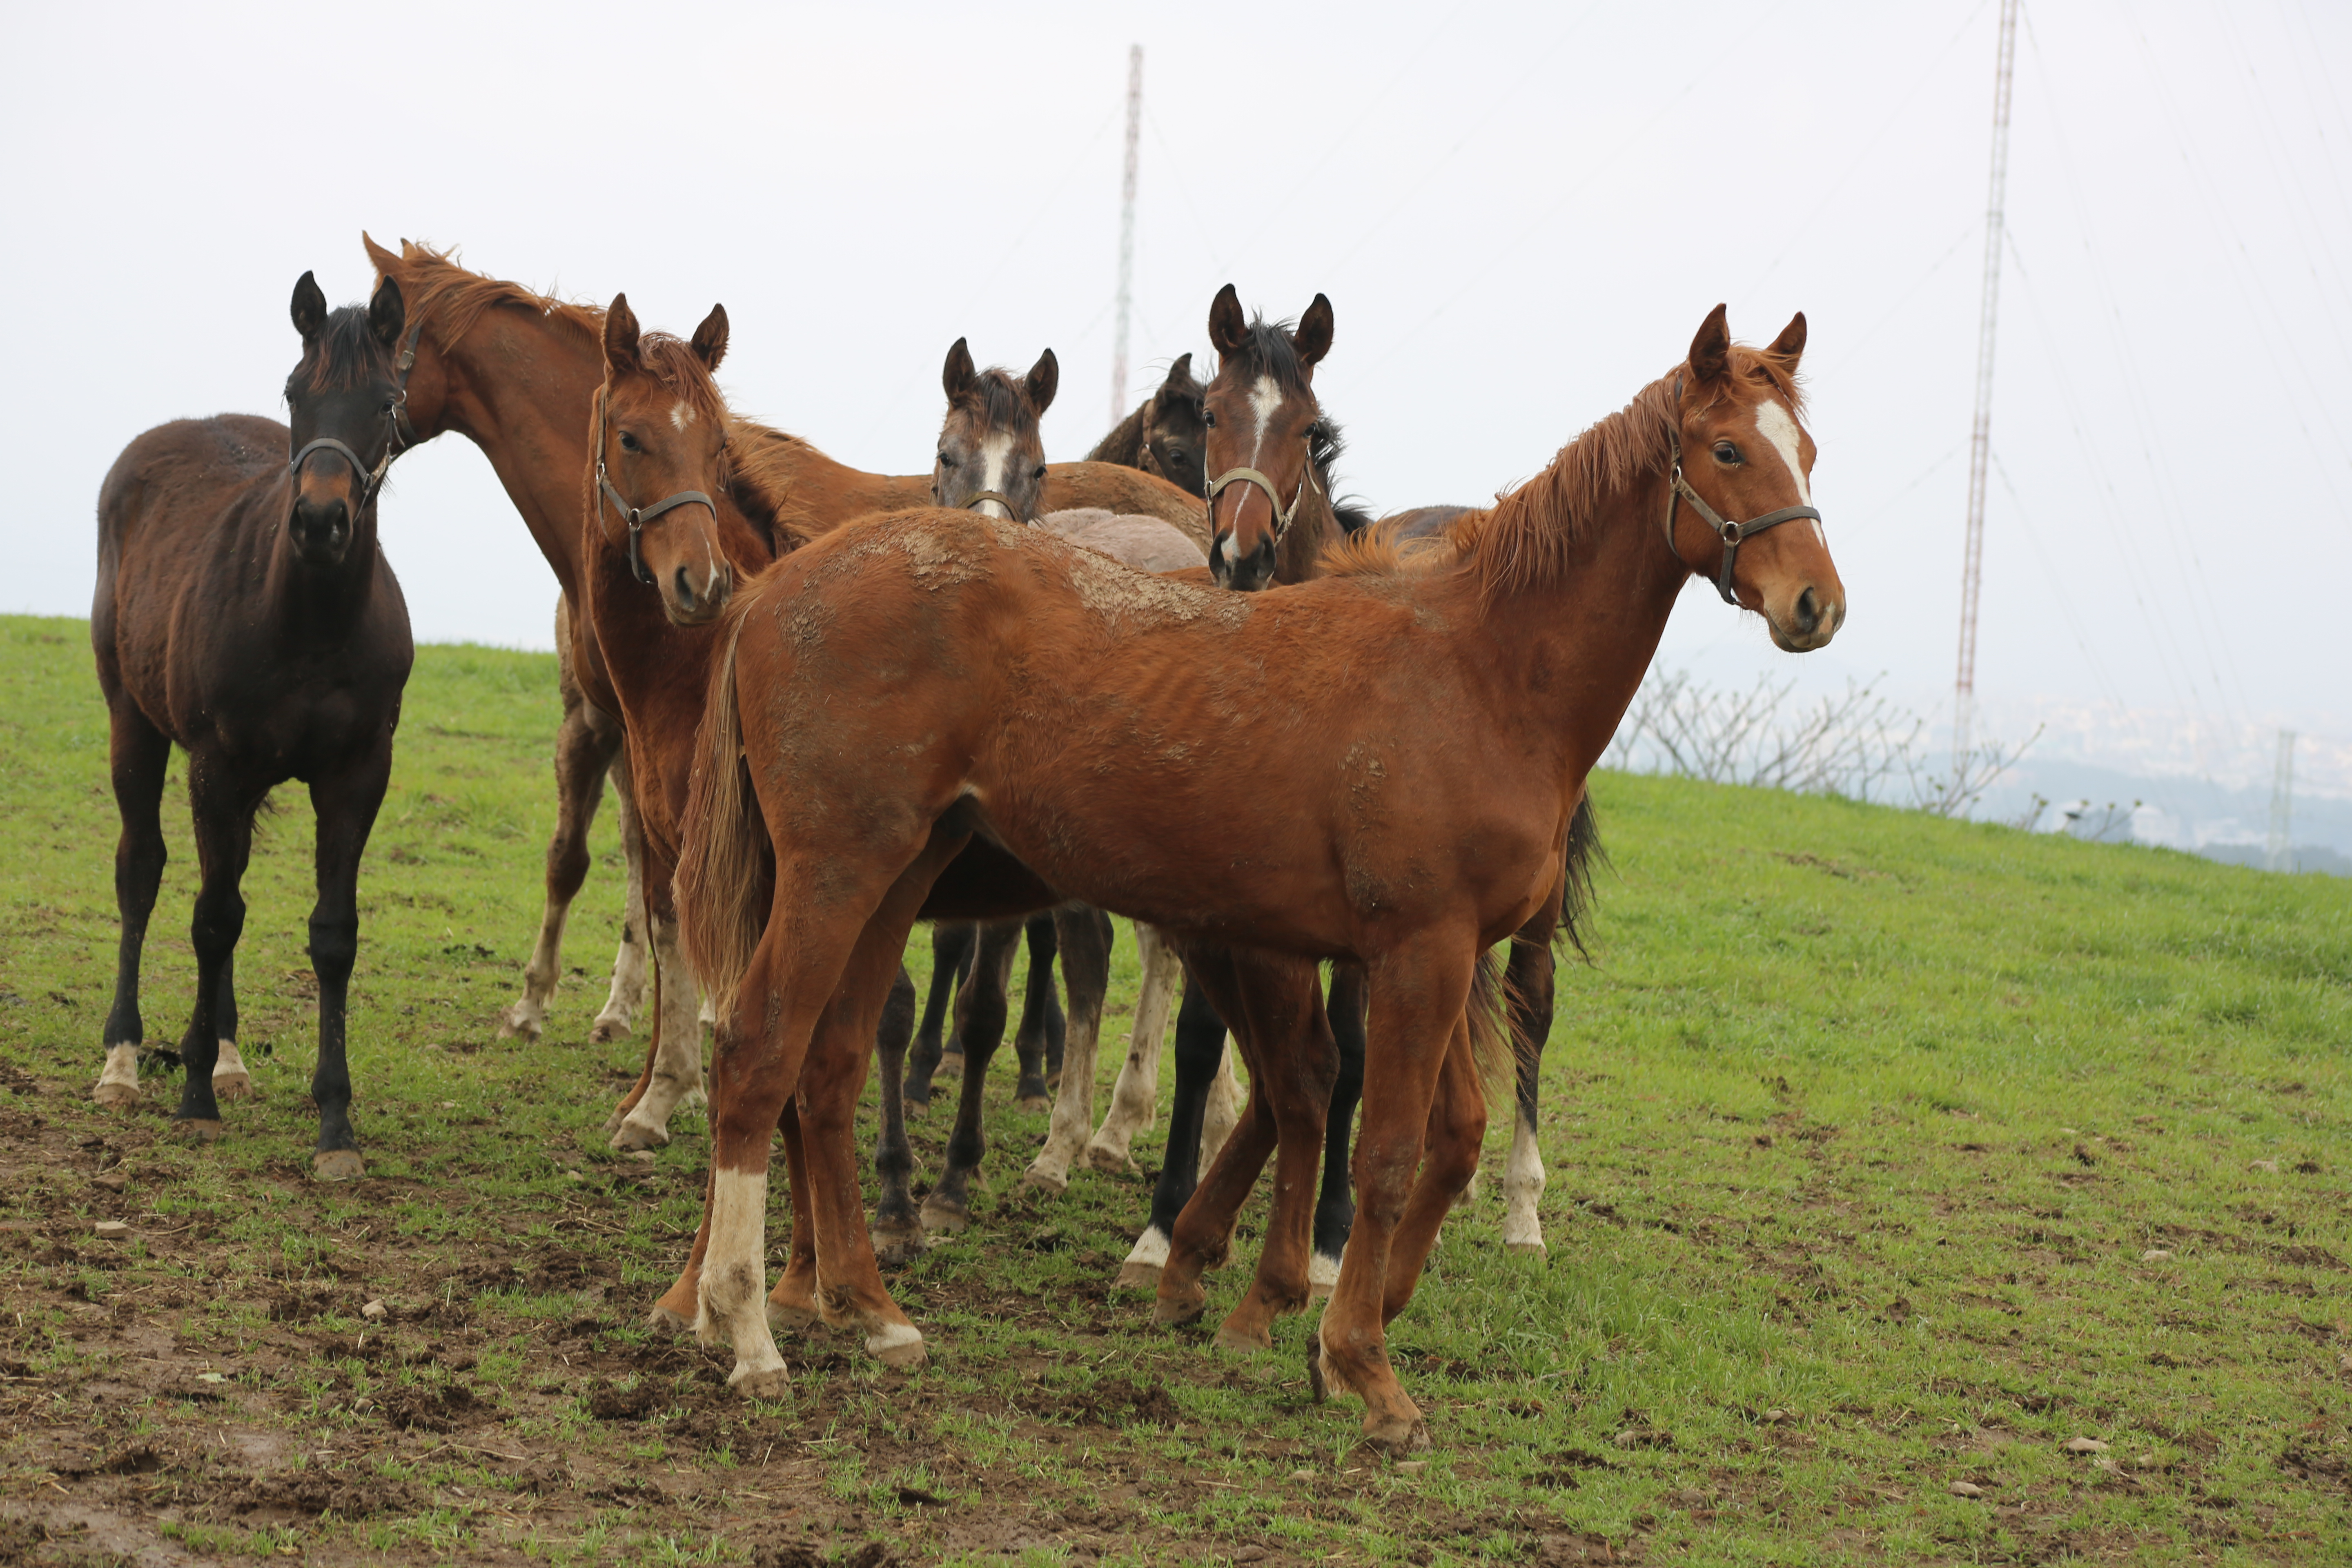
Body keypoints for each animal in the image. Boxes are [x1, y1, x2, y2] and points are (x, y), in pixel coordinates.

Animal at [91, 272, 419, 1175]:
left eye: (386, 402)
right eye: (296, 392)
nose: (320, 522)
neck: (309, 622)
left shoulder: (356, 776)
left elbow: (330, 935)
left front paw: (335, 1125)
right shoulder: (216, 769)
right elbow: (210, 919)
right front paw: (194, 1099)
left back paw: (231, 1057)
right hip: (133, 724)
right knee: (144, 871)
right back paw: (124, 1060)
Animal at [673, 303, 1844, 1448]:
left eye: (1809, 453)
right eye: (1728, 450)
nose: (1816, 605)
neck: (1480, 672)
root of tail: (774, 586)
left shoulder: (1427, 956)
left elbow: (1442, 1135)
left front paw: (1332, 1327)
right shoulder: (1418, 953)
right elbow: (1386, 1150)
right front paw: (1365, 1366)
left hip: (898, 875)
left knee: (828, 1066)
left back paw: (872, 1313)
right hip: (837, 874)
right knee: (759, 1050)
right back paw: (747, 1330)